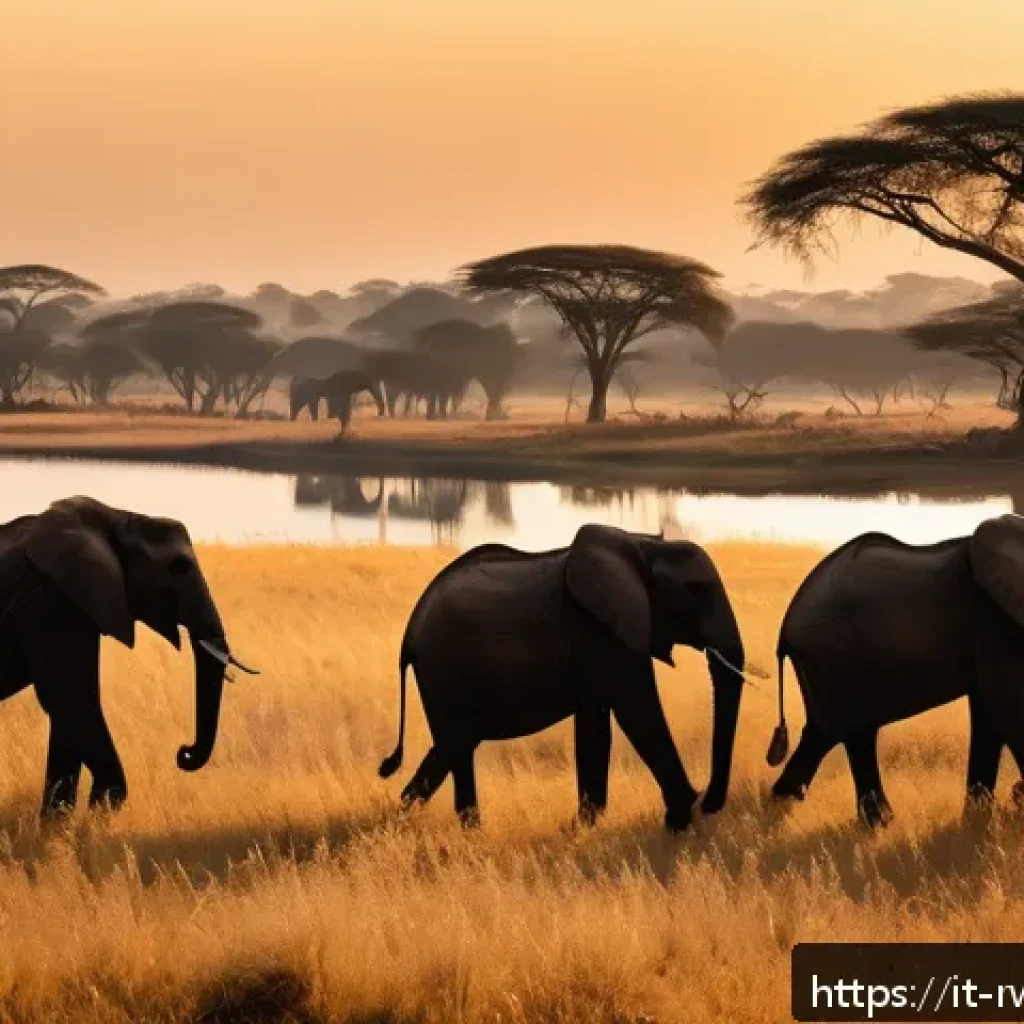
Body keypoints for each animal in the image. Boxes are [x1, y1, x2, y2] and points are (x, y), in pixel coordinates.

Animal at [0, 496, 256, 819]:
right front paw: (101, 807)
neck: (117, 517)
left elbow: (67, 710)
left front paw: (61, 825)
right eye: (179, 566)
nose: (183, 753)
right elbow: (72, 700)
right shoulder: (52, 602)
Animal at [378, 524, 746, 831]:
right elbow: (634, 711)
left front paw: (584, 826)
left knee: (451, 745)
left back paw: (406, 819)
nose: (708, 801)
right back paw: (468, 831)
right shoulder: (601, 631)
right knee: (456, 745)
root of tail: (409, 633)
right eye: (696, 590)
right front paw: (678, 820)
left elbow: (601, 720)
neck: (643, 546)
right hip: (442, 670)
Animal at [765, 516, 1024, 826]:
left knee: (841, 734)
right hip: (832, 657)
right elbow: (1006, 704)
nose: (1016, 792)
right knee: (839, 732)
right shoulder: (991, 619)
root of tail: (784, 629)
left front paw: (978, 818)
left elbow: (990, 710)